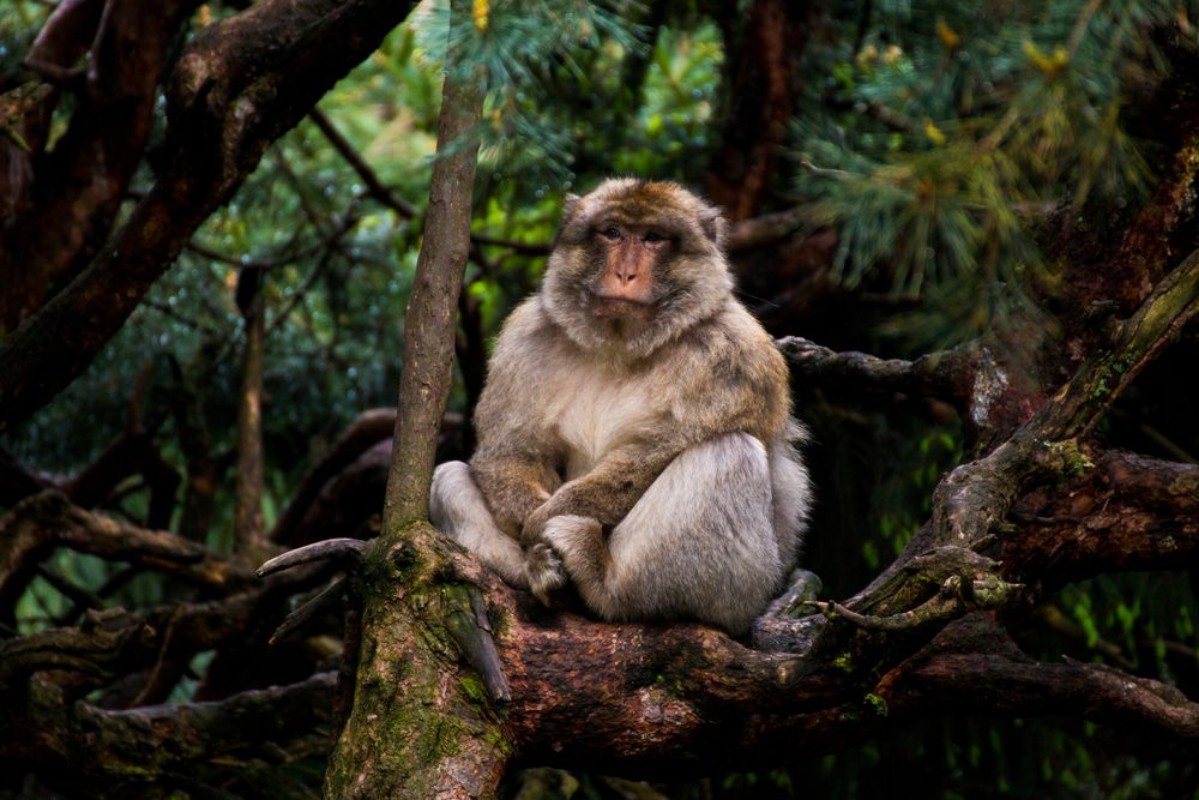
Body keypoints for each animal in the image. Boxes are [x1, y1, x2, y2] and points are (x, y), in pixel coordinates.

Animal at [429, 178, 811, 635]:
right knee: (448, 477)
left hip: (745, 590)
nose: (625, 273)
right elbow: (512, 452)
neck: (620, 345)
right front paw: (534, 538)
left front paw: (543, 523)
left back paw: (602, 579)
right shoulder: (525, 339)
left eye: (653, 238)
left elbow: (653, 453)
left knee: (728, 452)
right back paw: (540, 573)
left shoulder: (733, 355)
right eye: (612, 233)